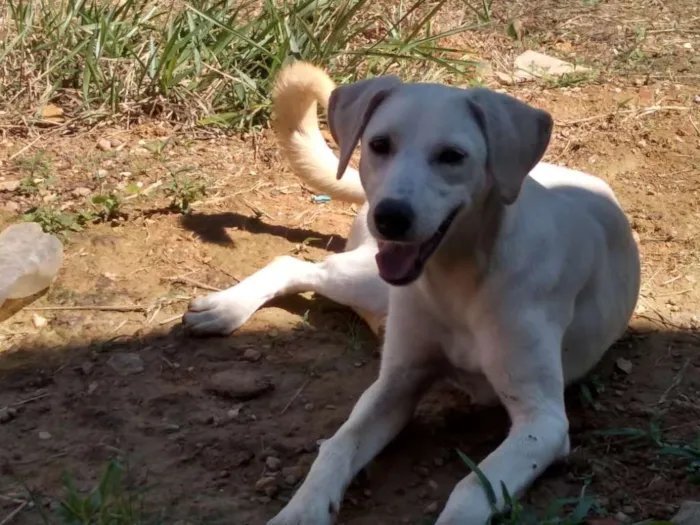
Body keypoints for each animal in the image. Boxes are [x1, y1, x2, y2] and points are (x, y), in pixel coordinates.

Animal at [183, 62, 644, 524]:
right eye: (379, 145)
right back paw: (225, 308)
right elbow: (338, 445)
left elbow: (470, 489)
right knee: (296, 265)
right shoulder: (396, 384)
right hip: (367, 279)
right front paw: (302, 511)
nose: (389, 217)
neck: (457, 279)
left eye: (452, 156)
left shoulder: (542, 421)